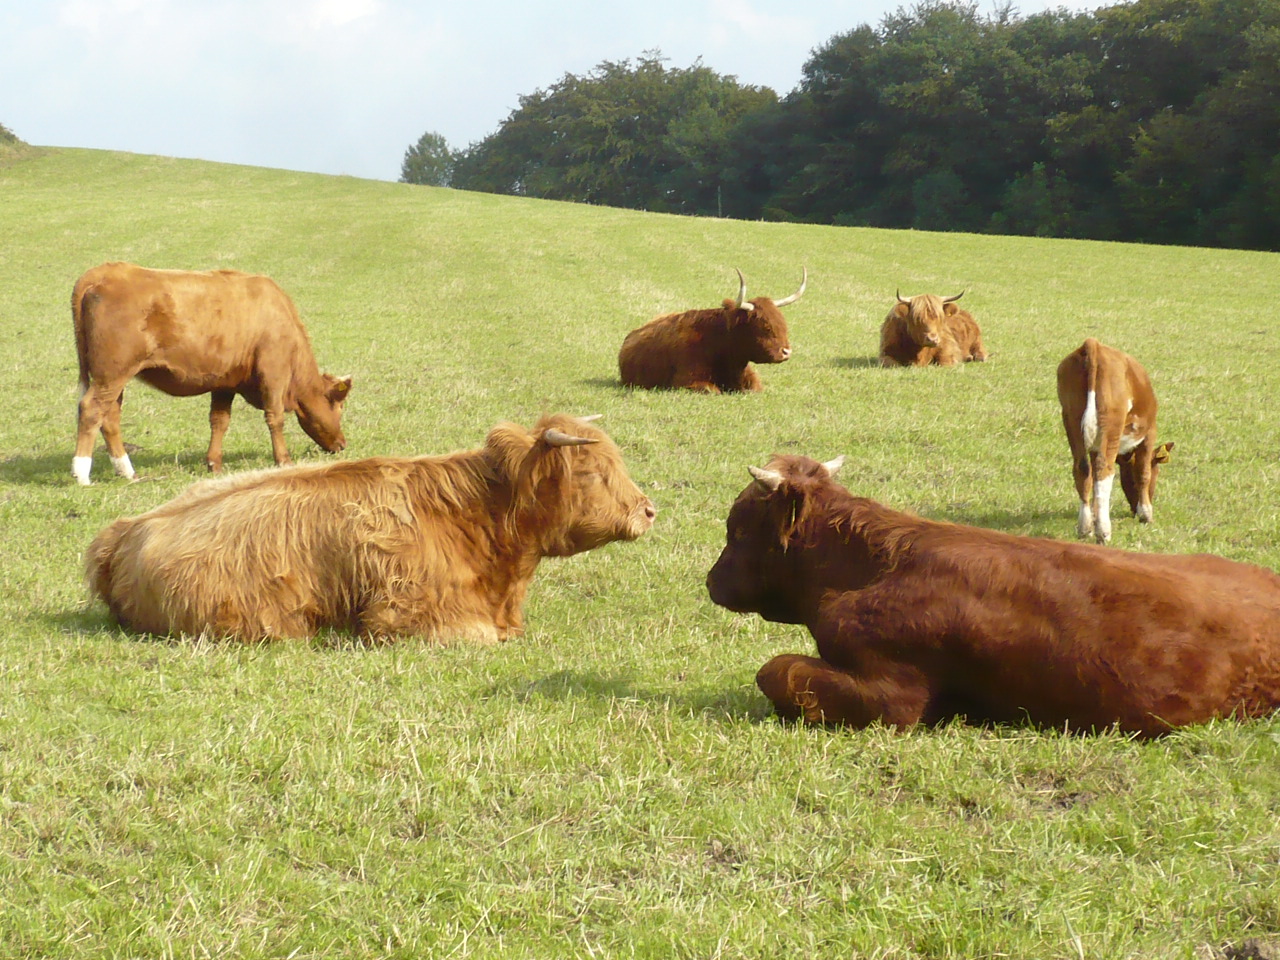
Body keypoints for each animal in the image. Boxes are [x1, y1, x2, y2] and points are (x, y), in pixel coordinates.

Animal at [72, 261, 353, 483]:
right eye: (339, 407)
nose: (342, 444)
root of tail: (105, 271)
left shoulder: (224, 383)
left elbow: (219, 421)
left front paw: (214, 463)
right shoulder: (274, 373)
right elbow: (275, 418)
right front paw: (283, 460)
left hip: (112, 379)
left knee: (109, 417)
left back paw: (126, 471)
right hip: (111, 375)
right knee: (91, 410)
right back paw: (82, 473)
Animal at [1054, 340, 1172, 545]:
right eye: (1158, 472)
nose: (1133, 511)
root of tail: (1092, 344)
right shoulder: (1150, 433)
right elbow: (1143, 472)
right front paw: (1146, 513)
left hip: (1071, 418)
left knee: (1082, 468)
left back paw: (1085, 527)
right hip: (1111, 422)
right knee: (1104, 470)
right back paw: (1104, 531)